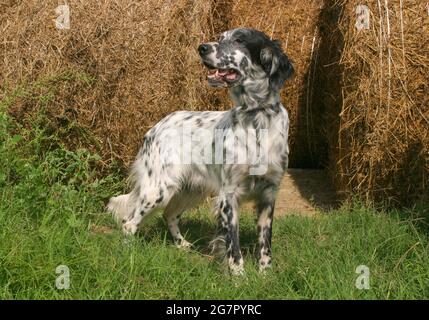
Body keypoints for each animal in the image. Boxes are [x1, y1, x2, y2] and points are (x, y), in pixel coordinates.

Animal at [107, 28, 294, 276]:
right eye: (221, 37)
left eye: (239, 39)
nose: (201, 48)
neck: (257, 118)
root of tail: (156, 126)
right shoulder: (229, 195)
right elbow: (233, 244)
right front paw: (239, 276)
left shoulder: (269, 194)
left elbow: (265, 243)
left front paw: (265, 275)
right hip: (158, 190)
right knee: (129, 223)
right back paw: (128, 254)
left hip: (191, 189)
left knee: (169, 215)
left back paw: (182, 244)